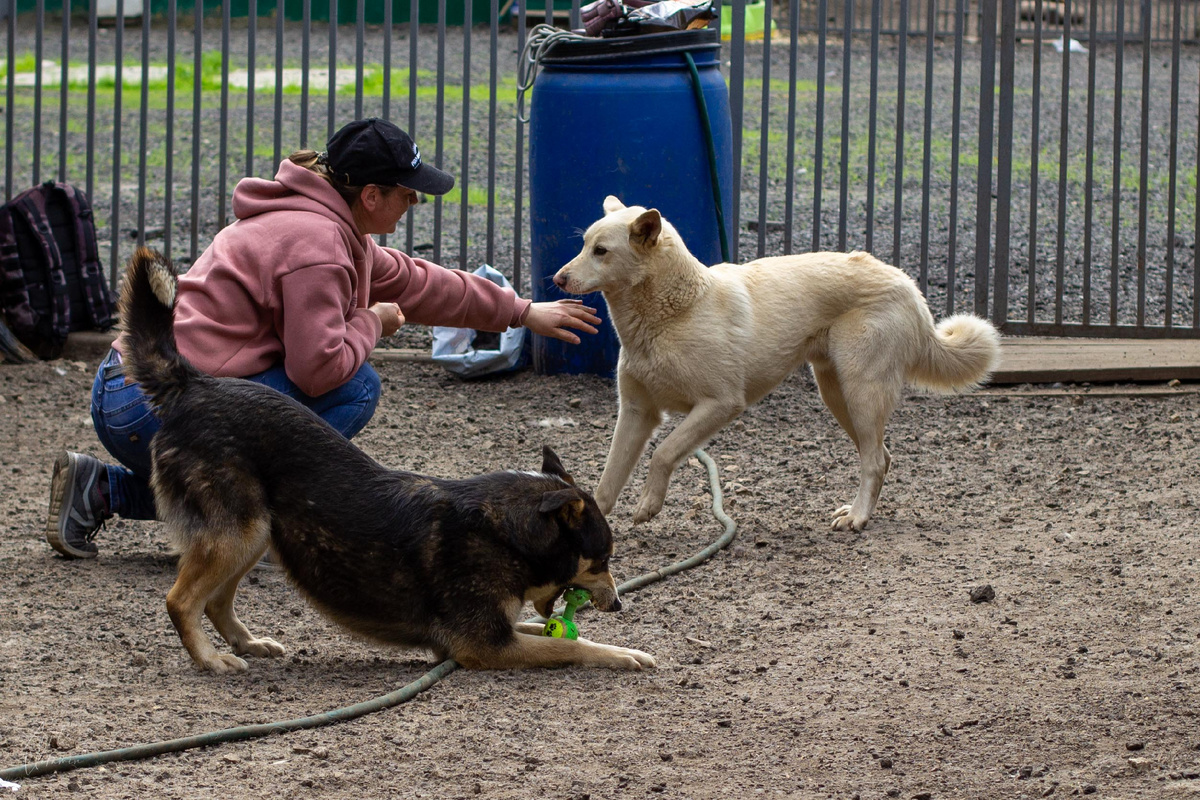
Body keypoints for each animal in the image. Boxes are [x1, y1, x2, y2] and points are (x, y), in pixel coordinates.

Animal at [119, 247, 657, 671]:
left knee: (215, 602)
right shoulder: (484, 645)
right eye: (602, 559)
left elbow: (543, 628)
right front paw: (623, 653)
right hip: (241, 531)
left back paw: (247, 643)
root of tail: (193, 383)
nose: (619, 605)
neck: (509, 529)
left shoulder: (498, 630)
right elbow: (573, 646)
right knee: (181, 600)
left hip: (258, 531)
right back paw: (210, 659)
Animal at [552, 195, 1003, 532]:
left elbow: (664, 453)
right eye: (583, 245)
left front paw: (649, 503)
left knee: (874, 461)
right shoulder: (636, 412)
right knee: (881, 456)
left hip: (861, 391)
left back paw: (857, 518)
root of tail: (908, 285)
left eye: (601, 252)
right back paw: (858, 510)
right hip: (837, 395)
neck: (675, 312)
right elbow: (608, 479)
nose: (557, 279)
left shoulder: (720, 404)